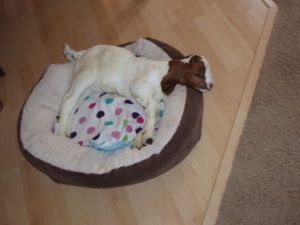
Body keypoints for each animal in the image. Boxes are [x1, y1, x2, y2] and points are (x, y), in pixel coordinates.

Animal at [58, 44, 213, 149]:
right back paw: (60, 136)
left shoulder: (150, 100)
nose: (211, 85)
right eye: (198, 73)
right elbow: (154, 111)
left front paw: (139, 139)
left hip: (89, 88)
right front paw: (148, 137)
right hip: (84, 76)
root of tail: (82, 53)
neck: (162, 73)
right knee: (68, 98)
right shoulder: (138, 87)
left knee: (74, 104)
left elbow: (152, 114)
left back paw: (67, 133)